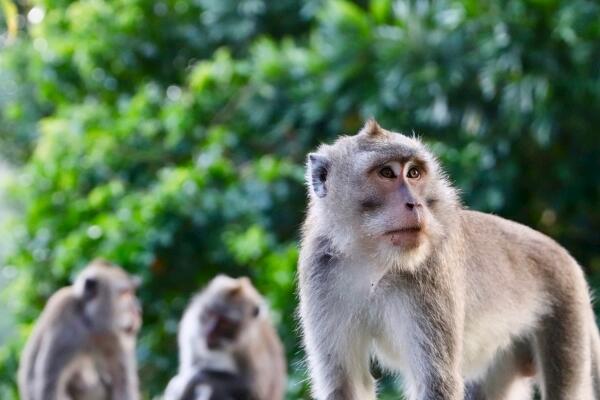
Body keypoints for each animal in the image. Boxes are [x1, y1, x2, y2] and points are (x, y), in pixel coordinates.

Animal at [17, 260, 142, 400]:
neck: (90, 323)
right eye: (125, 294)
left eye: (132, 292)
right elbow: (49, 385)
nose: (138, 310)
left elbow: (122, 382)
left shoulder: (114, 338)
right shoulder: (65, 322)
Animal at [298, 119, 600, 400]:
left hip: (565, 310)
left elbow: (436, 382)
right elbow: (344, 383)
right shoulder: (318, 272)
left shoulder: (431, 270)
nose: (415, 204)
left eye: (414, 173)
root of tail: (564, 255)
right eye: (386, 173)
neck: (373, 260)